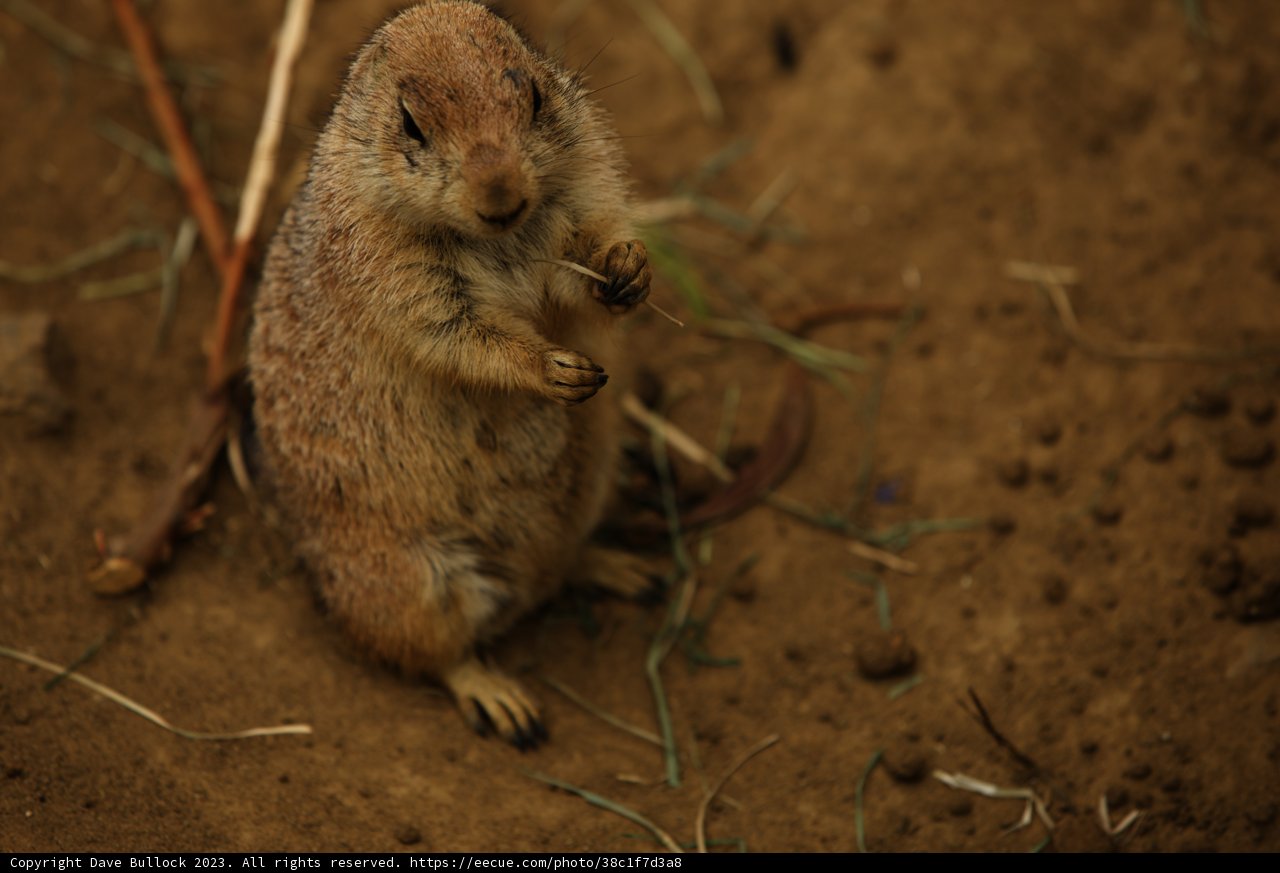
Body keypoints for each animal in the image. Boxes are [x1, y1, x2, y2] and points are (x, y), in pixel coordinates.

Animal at [248, 0, 653, 747]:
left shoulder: (587, 179)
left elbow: (588, 262)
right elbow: (461, 338)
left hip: (592, 480)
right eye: (410, 122)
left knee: (560, 567)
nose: (502, 191)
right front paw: (552, 367)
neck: (501, 235)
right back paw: (504, 703)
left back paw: (621, 568)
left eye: (533, 94)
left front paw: (628, 267)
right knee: (437, 655)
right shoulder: (393, 271)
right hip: (406, 581)